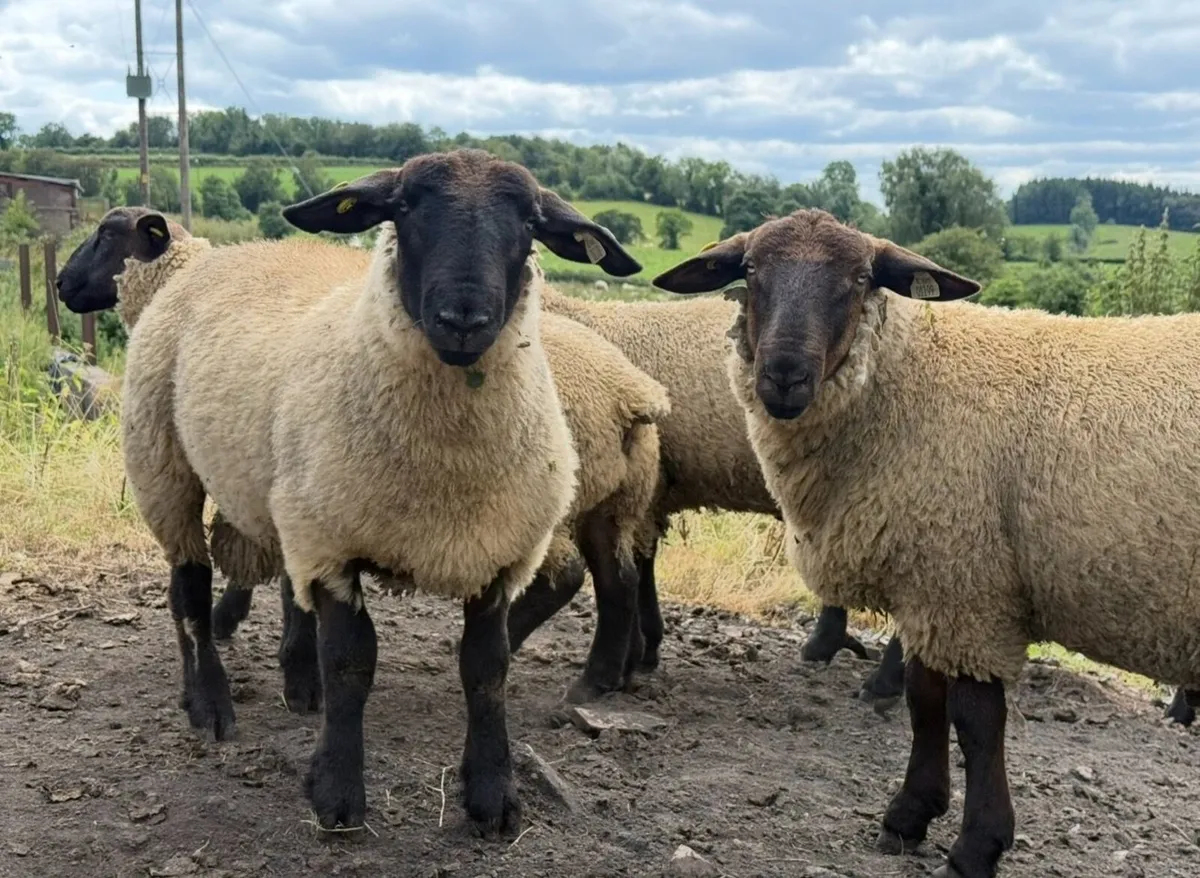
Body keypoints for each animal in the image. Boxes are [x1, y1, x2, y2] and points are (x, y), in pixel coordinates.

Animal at [59, 206, 671, 707]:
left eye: (106, 234)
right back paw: (601, 678)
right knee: (616, 578)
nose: (61, 283)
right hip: (612, 505)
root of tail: (632, 394)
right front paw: (291, 658)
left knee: (564, 576)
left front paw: (284, 662)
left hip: (538, 506)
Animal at [116, 149, 644, 833]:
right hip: (164, 463)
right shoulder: (334, 546)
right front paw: (337, 791)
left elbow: (488, 669)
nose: (463, 318)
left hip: (287, 493)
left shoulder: (499, 552)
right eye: (405, 207)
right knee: (187, 587)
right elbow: (351, 664)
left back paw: (291, 682)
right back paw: (207, 703)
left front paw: (493, 793)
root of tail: (231, 251)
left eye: (530, 222)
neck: (447, 466)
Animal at [652, 207, 1200, 878]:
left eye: (861, 278)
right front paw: (910, 816)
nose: (782, 375)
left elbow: (976, 721)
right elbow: (923, 700)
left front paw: (976, 846)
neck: (910, 378)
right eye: (751, 269)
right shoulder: (928, 584)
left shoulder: (964, 586)